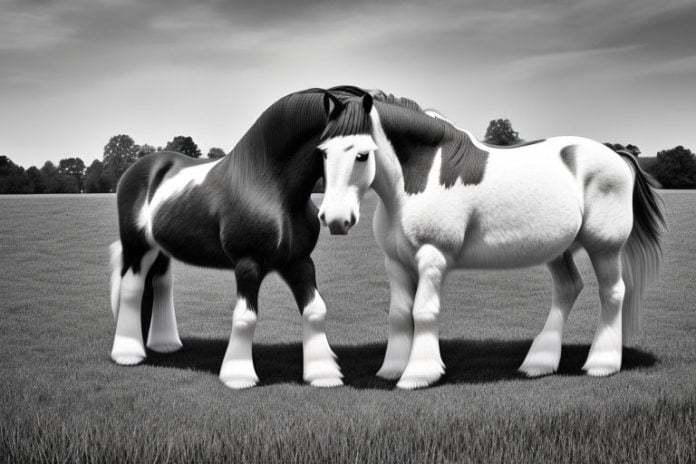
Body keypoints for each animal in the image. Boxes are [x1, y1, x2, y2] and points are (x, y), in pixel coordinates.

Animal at [109, 87, 357, 389]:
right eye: (327, 150)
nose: (339, 218)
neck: (268, 186)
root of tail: (135, 170)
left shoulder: (299, 262)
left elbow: (316, 310)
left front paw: (323, 373)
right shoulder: (248, 265)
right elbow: (245, 317)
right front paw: (239, 376)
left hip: (160, 249)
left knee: (160, 284)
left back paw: (165, 344)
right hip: (137, 246)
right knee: (132, 290)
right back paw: (127, 354)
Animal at [316, 86, 665, 389]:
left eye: (362, 155)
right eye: (323, 153)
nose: (334, 219)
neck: (419, 177)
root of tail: (616, 155)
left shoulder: (432, 257)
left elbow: (423, 311)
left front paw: (418, 375)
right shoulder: (396, 262)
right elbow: (400, 314)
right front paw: (391, 370)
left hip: (605, 247)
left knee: (613, 293)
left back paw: (602, 364)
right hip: (558, 250)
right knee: (569, 289)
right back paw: (539, 363)